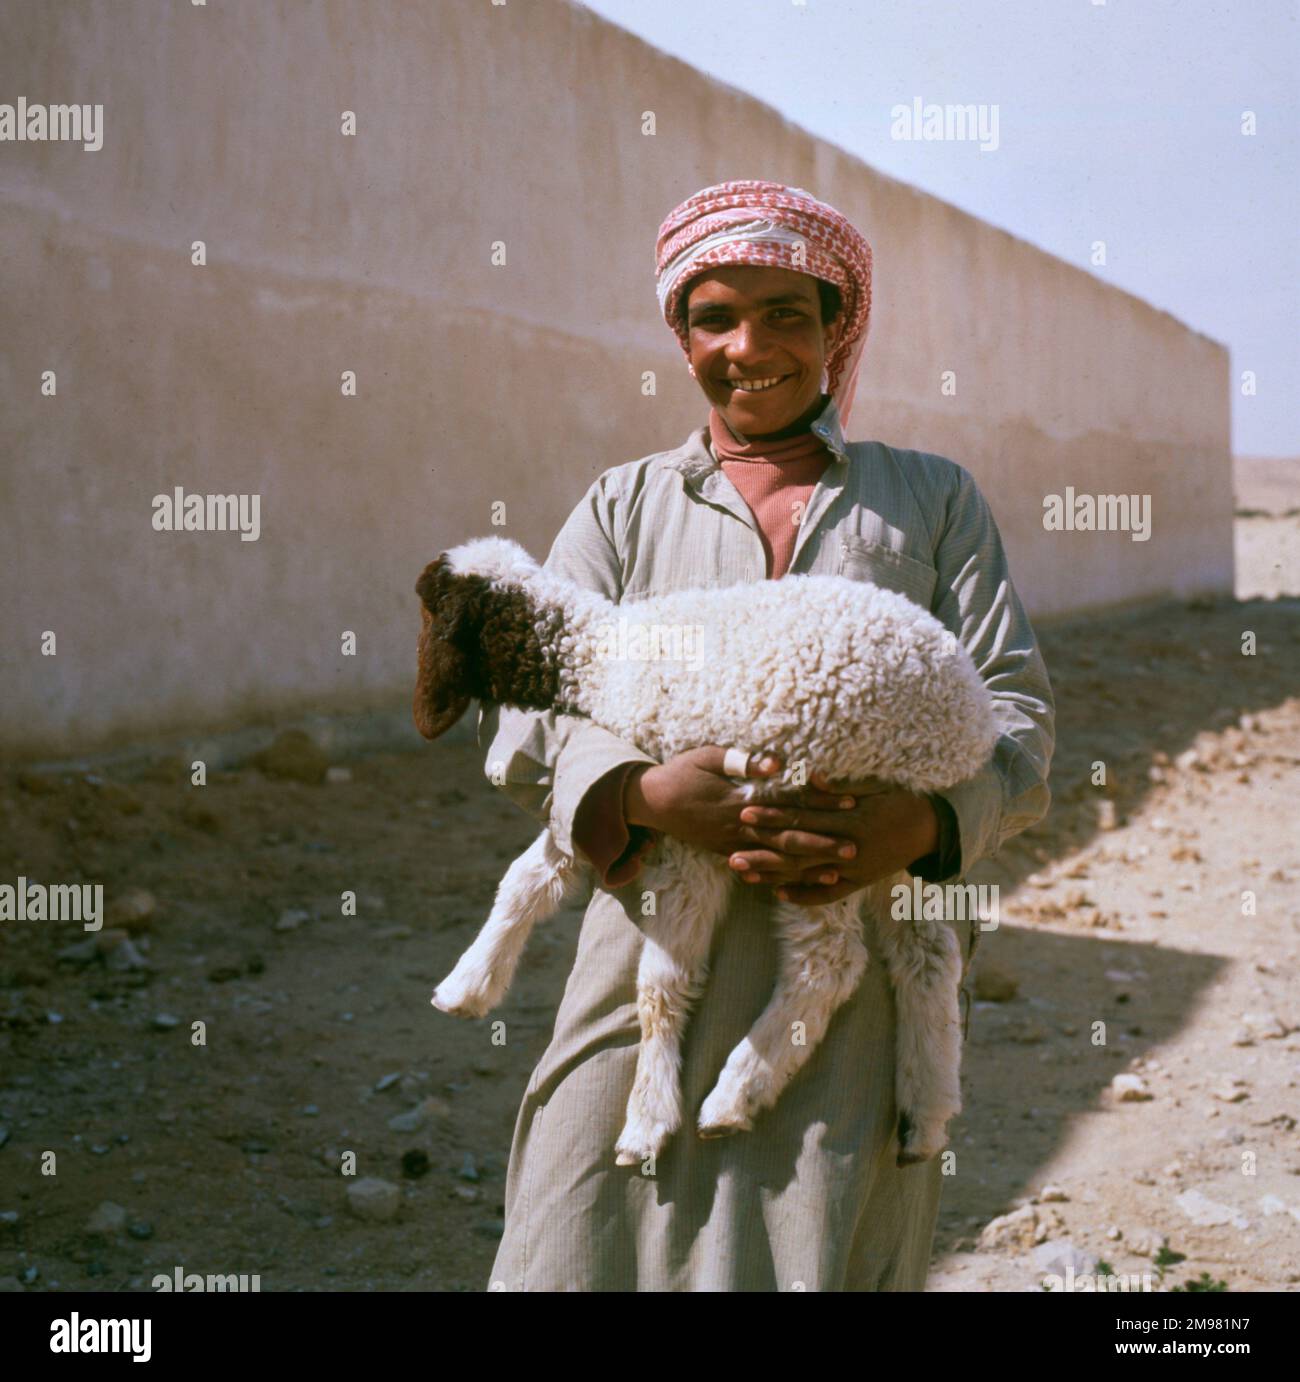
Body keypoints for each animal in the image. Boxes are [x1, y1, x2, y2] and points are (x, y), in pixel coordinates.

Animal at [414, 536, 994, 1166]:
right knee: (928, 954)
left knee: (830, 963)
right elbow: (532, 875)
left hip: (825, 818)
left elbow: (660, 983)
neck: (598, 659)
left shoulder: (686, 834)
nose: (426, 715)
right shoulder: (622, 806)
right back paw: (925, 1116)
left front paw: (646, 1120)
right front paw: (467, 985)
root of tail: (967, 718)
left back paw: (732, 1097)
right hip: (899, 832)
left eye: (430, 609)